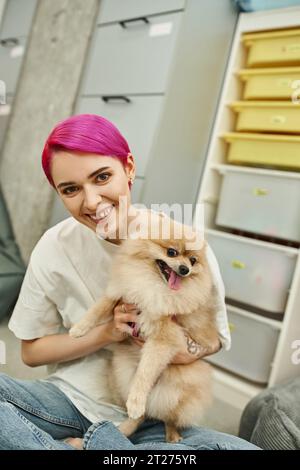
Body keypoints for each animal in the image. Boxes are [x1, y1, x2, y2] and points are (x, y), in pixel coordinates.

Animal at [70, 211, 220, 442]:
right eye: (171, 252)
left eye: (193, 260)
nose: (185, 269)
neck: (152, 284)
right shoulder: (121, 292)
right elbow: (98, 309)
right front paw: (78, 329)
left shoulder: (163, 338)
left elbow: (145, 373)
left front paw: (136, 401)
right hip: (122, 372)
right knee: (141, 416)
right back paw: (122, 429)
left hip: (181, 389)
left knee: (168, 416)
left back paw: (171, 434)